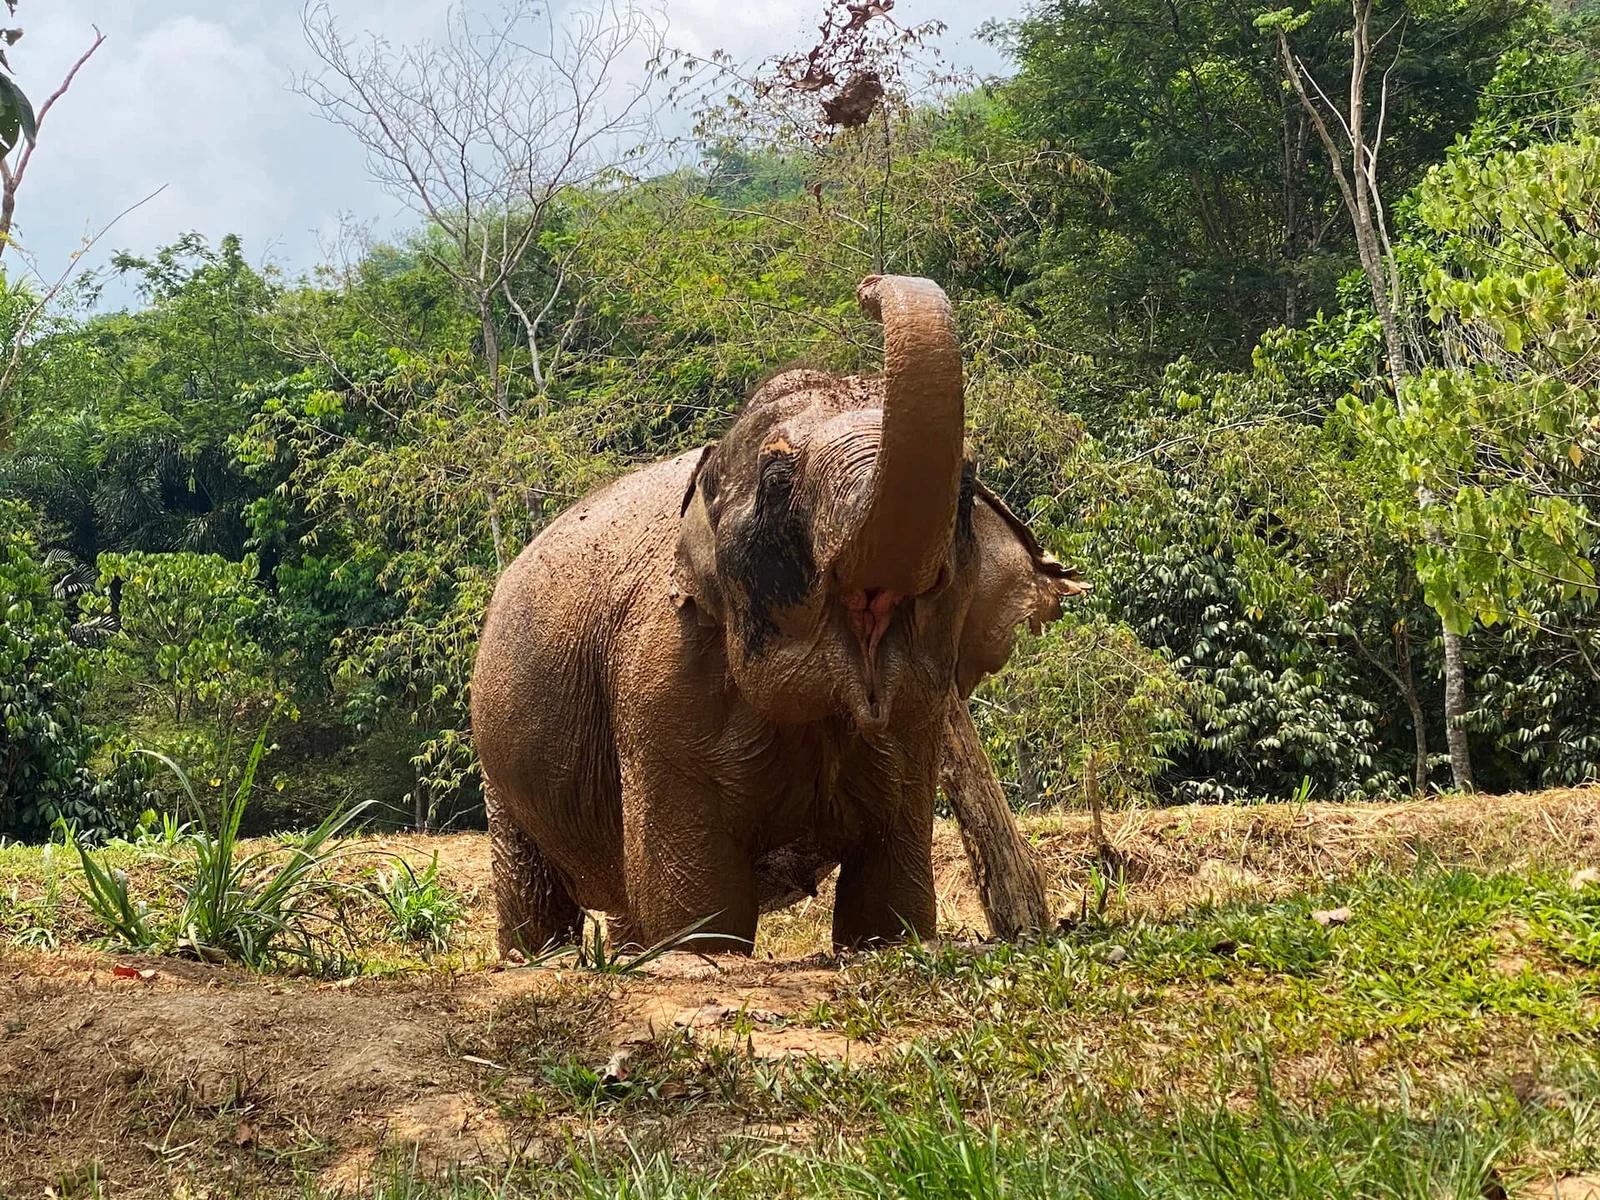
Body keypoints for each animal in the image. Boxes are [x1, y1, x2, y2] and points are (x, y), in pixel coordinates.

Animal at [471, 274, 1083, 955]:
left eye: (966, 485)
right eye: (777, 480)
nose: (868, 289)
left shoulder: (918, 724)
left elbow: (888, 901)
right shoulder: (658, 688)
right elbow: (697, 918)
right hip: (497, 757)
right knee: (533, 887)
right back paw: (534, 956)